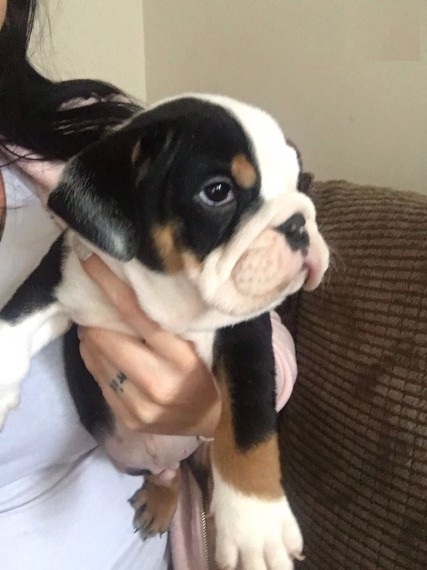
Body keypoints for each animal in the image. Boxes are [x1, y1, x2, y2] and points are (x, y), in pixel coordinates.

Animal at [0, 94, 329, 569]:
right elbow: (15, 321)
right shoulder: (60, 275)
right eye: (218, 192)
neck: (168, 291)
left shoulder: (245, 335)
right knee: (167, 473)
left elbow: (248, 428)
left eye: (300, 181)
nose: (299, 223)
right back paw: (160, 499)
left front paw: (254, 524)